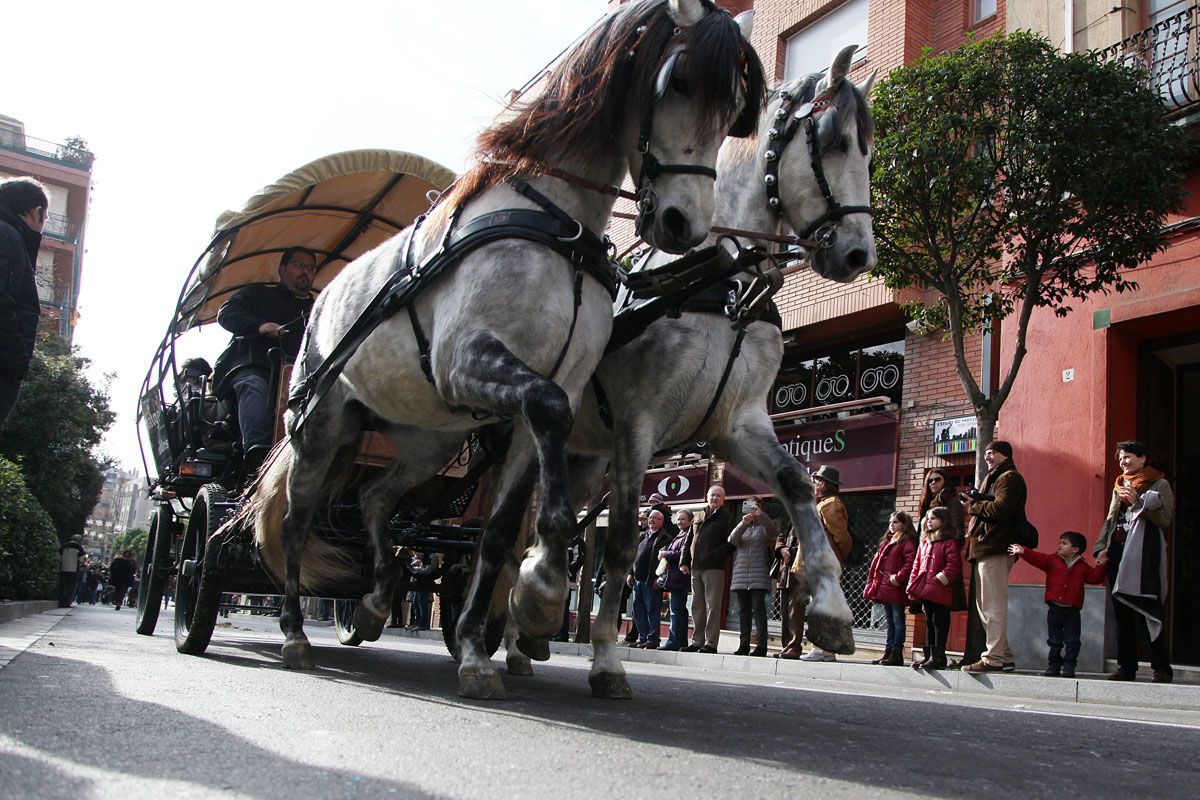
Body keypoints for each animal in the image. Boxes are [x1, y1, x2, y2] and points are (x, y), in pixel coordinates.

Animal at [247, 0, 763, 700]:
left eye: (735, 112)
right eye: (678, 81)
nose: (686, 225)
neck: (558, 223)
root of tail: (321, 300)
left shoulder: (537, 402)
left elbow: (496, 532)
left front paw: (477, 645)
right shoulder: (472, 366)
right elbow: (546, 426)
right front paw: (543, 584)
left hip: (428, 438)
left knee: (375, 498)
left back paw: (376, 603)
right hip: (321, 425)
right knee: (298, 522)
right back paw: (296, 632)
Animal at [501, 45, 878, 700]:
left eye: (871, 154)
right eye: (832, 141)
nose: (859, 254)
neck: (723, 285)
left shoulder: (737, 425)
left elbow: (798, 485)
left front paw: (830, 609)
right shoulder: (639, 425)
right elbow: (622, 544)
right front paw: (607, 657)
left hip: (584, 458)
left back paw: (527, 636)